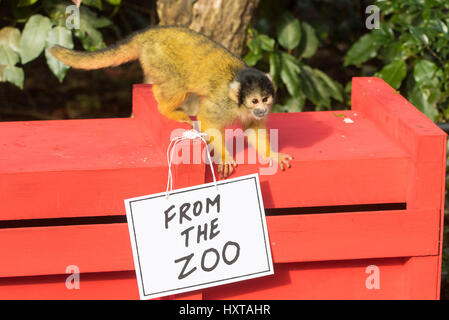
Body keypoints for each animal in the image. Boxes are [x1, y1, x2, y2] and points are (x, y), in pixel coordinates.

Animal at [50, 26, 294, 178]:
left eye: (265, 99)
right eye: (254, 100)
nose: (262, 110)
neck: (238, 104)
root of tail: (149, 33)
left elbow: (253, 130)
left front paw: (273, 155)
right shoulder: (223, 104)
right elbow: (208, 120)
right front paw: (224, 156)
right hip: (157, 56)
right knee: (178, 84)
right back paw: (166, 108)